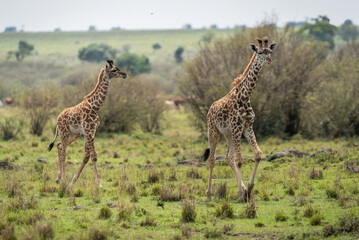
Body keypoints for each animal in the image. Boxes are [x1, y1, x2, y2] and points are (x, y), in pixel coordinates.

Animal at [47, 60, 127, 188]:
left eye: (117, 67)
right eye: (114, 70)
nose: (125, 74)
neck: (95, 106)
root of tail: (58, 118)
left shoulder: (91, 132)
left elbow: (87, 156)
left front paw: (74, 180)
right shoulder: (89, 131)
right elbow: (93, 155)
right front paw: (99, 183)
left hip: (73, 134)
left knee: (59, 146)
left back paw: (58, 178)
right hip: (64, 133)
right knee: (63, 152)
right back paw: (63, 180)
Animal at [204, 37, 278, 202]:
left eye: (270, 51)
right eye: (260, 52)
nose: (270, 60)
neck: (245, 97)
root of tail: (210, 108)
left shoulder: (247, 127)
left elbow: (257, 154)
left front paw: (248, 190)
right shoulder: (237, 128)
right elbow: (239, 160)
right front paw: (241, 193)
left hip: (229, 134)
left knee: (228, 156)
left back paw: (242, 189)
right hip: (214, 131)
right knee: (212, 159)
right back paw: (209, 193)